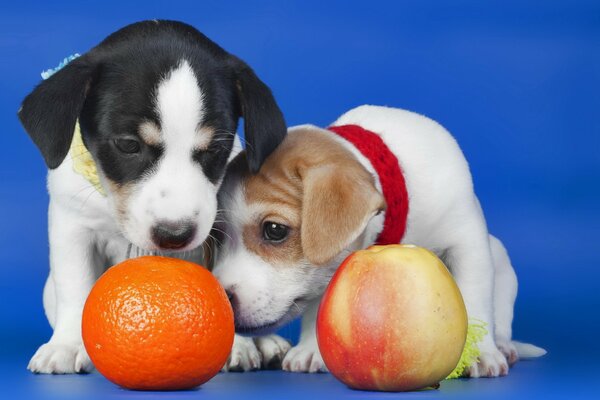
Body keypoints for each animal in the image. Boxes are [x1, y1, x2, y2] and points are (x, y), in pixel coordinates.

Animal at [19, 20, 288, 374]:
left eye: (216, 148)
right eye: (128, 145)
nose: (174, 235)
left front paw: (236, 345)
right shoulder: (73, 226)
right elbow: (75, 286)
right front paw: (67, 345)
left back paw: (266, 342)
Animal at [213, 104, 548, 376]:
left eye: (274, 230)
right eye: (217, 237)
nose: (224, 298)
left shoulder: (468, 242)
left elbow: (476, 297)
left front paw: (479, 354)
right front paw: (311, 347)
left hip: (498, 255)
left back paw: (503, 345)